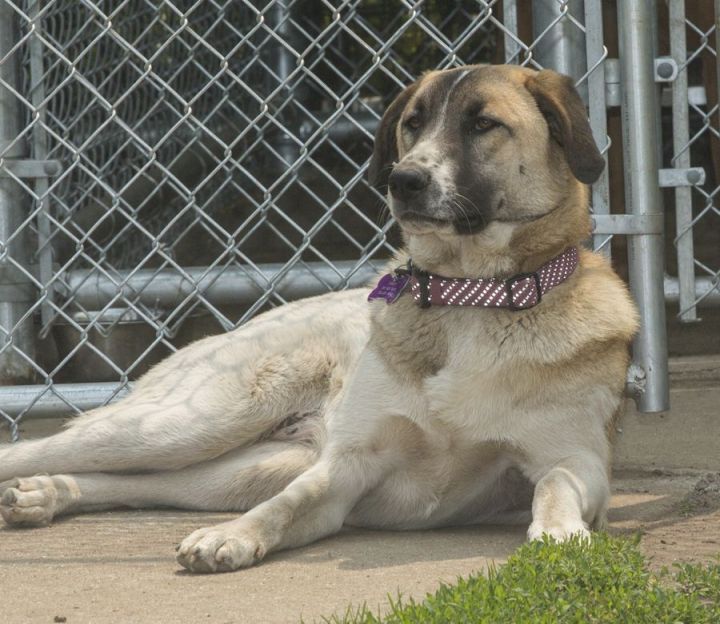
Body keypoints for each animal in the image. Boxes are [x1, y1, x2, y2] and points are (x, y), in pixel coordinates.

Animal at [2, 63, 640, 572]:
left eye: (484, 124)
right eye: (413, 123)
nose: (403, 180)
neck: (468, 298)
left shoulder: (578, 459)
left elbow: (554, 483)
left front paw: (558, 532)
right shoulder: (345, 467)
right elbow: (286, 506)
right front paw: (233, 538)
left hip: (242, 466)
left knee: (146, 486)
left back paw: (45, 495)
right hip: (190, 424)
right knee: (51, 449)